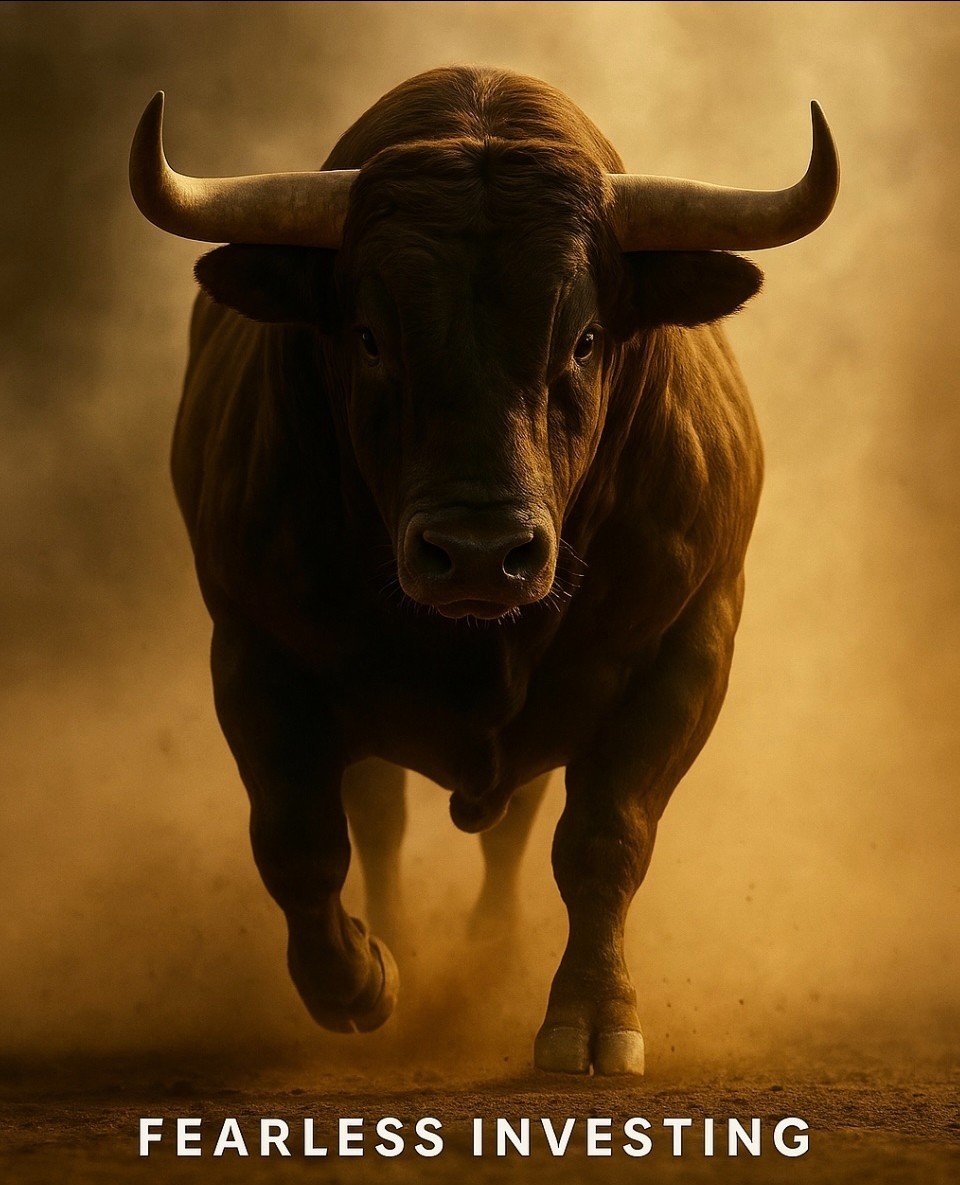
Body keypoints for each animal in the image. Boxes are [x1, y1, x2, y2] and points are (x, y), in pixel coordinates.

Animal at [130, 66, 838, 1075]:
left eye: (585, 339)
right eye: (369, 337)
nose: (477, 553)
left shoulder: (689, 644)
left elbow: (604, 838)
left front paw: (592, 1015)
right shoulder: (254, 651)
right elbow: (299, 838)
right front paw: (358, 980)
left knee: (509, 829)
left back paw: (492, 947)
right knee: (378, 821)